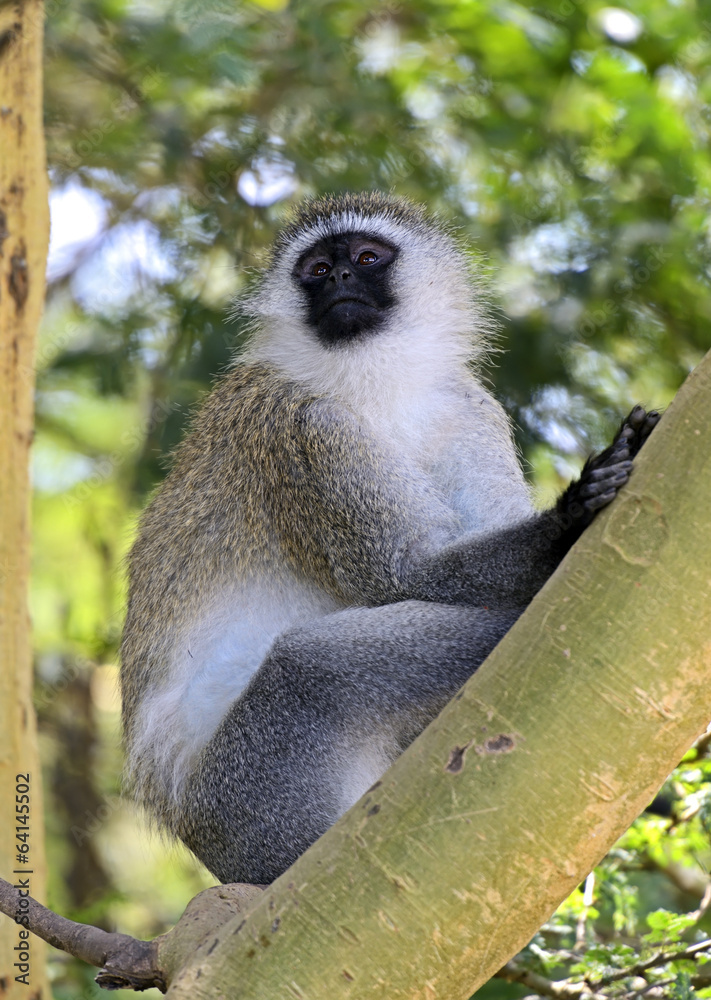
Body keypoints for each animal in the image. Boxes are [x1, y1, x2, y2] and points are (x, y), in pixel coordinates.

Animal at [120, 191, 659, 886]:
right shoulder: (303, 429)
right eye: (319, 269)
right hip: (243, 793)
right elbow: (404, 572)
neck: (375, 382)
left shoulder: (469, 409)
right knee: (311, 667)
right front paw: (571, 514)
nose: (342, 280)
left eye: (368, 257)